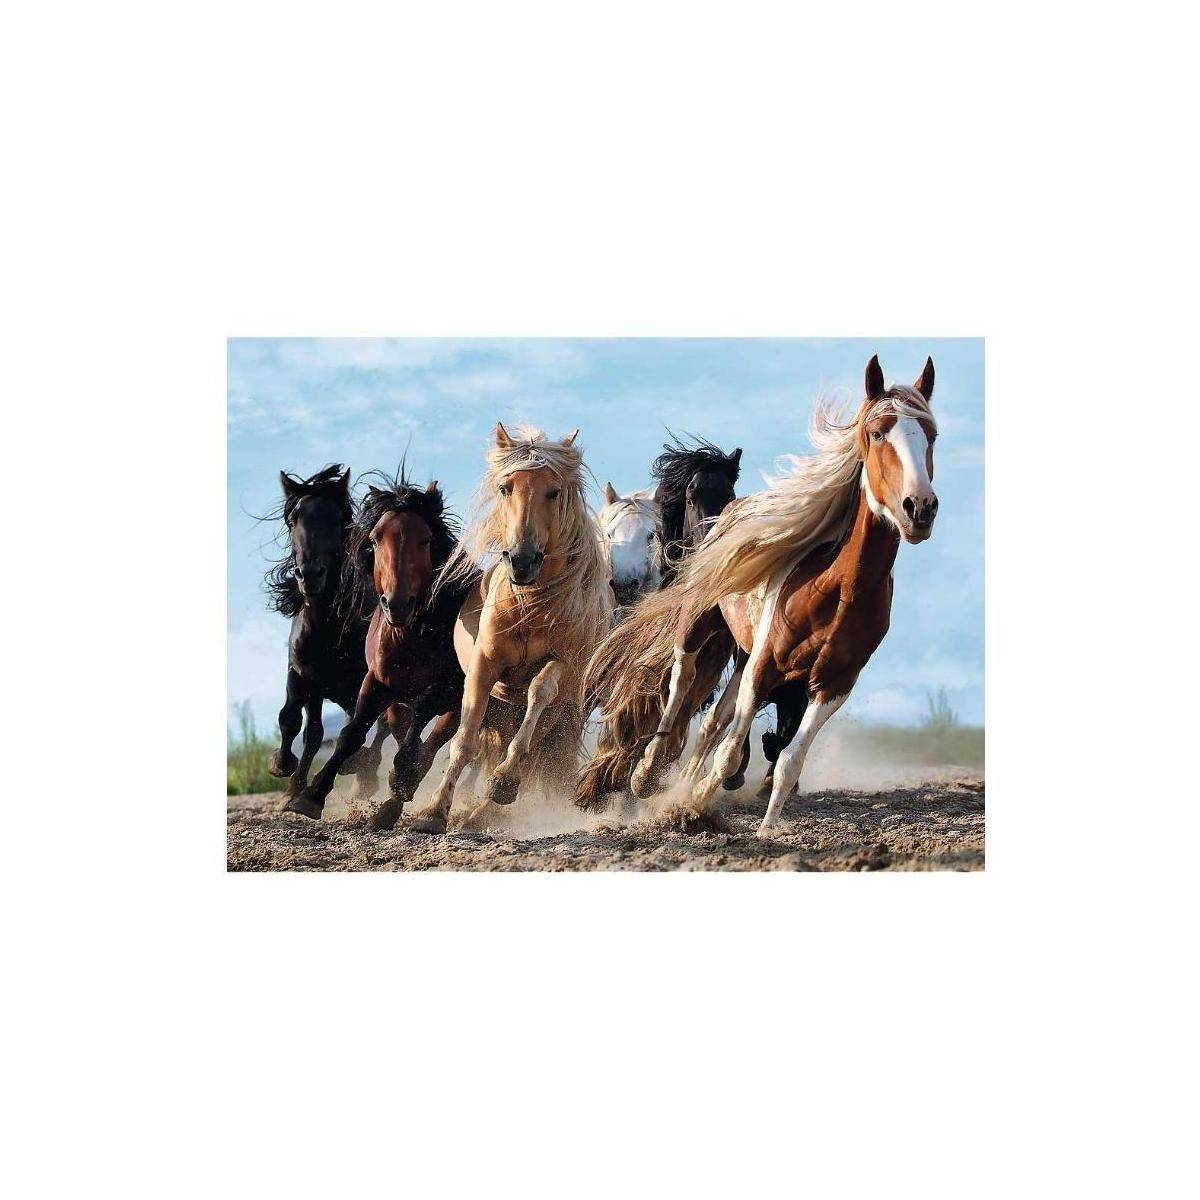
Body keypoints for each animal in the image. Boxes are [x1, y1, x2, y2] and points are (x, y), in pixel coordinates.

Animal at [264, 465, 385, 805]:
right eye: (293, 520)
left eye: (337, 519)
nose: (309, 575)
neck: (327, 630)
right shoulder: (303, 675)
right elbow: (296, 722)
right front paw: (286, 773)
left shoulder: (363, 682)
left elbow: (358, 727)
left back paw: (364, 774)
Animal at [283, 471, 474, 828]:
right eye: (374, 540)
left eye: (426, 540)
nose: (397, 603)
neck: (411, 635)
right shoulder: (375, 682)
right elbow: (351, 733)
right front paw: (310, 796)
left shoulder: (450, 688)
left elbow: (421, 717)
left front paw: (402, 776)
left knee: (432, 745)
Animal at [409, 424, 614, 835]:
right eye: (506, 488)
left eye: (554, 491)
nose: (522, 560)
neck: (530, 606)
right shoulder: (484, 667)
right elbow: (464, 742)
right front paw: (433, 811)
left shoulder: (562, 664)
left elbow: (538, 695)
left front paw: (503, 782)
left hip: (558, 713)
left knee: (532, 752)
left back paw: (486, 809)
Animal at [580, 355, 939, 835]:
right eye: (878, 432)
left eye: (931, 435)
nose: (919, 508)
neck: (837, 590)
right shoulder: (763, 664)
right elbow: (728, 749)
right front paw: (686, 803)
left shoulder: (833, 684)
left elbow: (787, 758)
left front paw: (764, 827)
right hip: (701, 626)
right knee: (680, 680)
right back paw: (648, 770)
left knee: (714, 720)